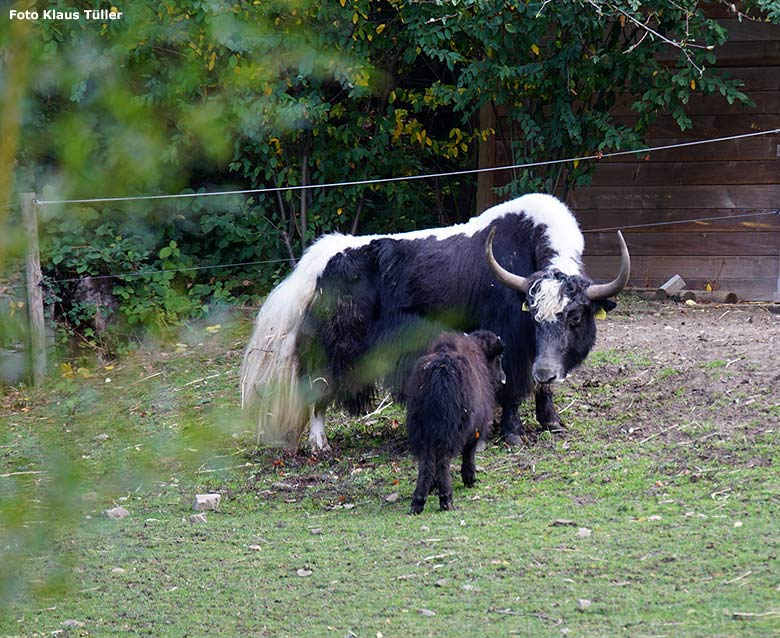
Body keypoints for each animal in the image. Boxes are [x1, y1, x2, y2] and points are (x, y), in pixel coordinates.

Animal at [406, 330, 508, 516]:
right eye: (499, 356)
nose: (504, 377)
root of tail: (440, 370)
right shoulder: (477, 427)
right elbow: (469, 452)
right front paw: (470, 479)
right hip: (451, 430)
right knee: (443, 461)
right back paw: (446, 499)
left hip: (421, 429)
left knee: (426, 462)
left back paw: (419, 501)